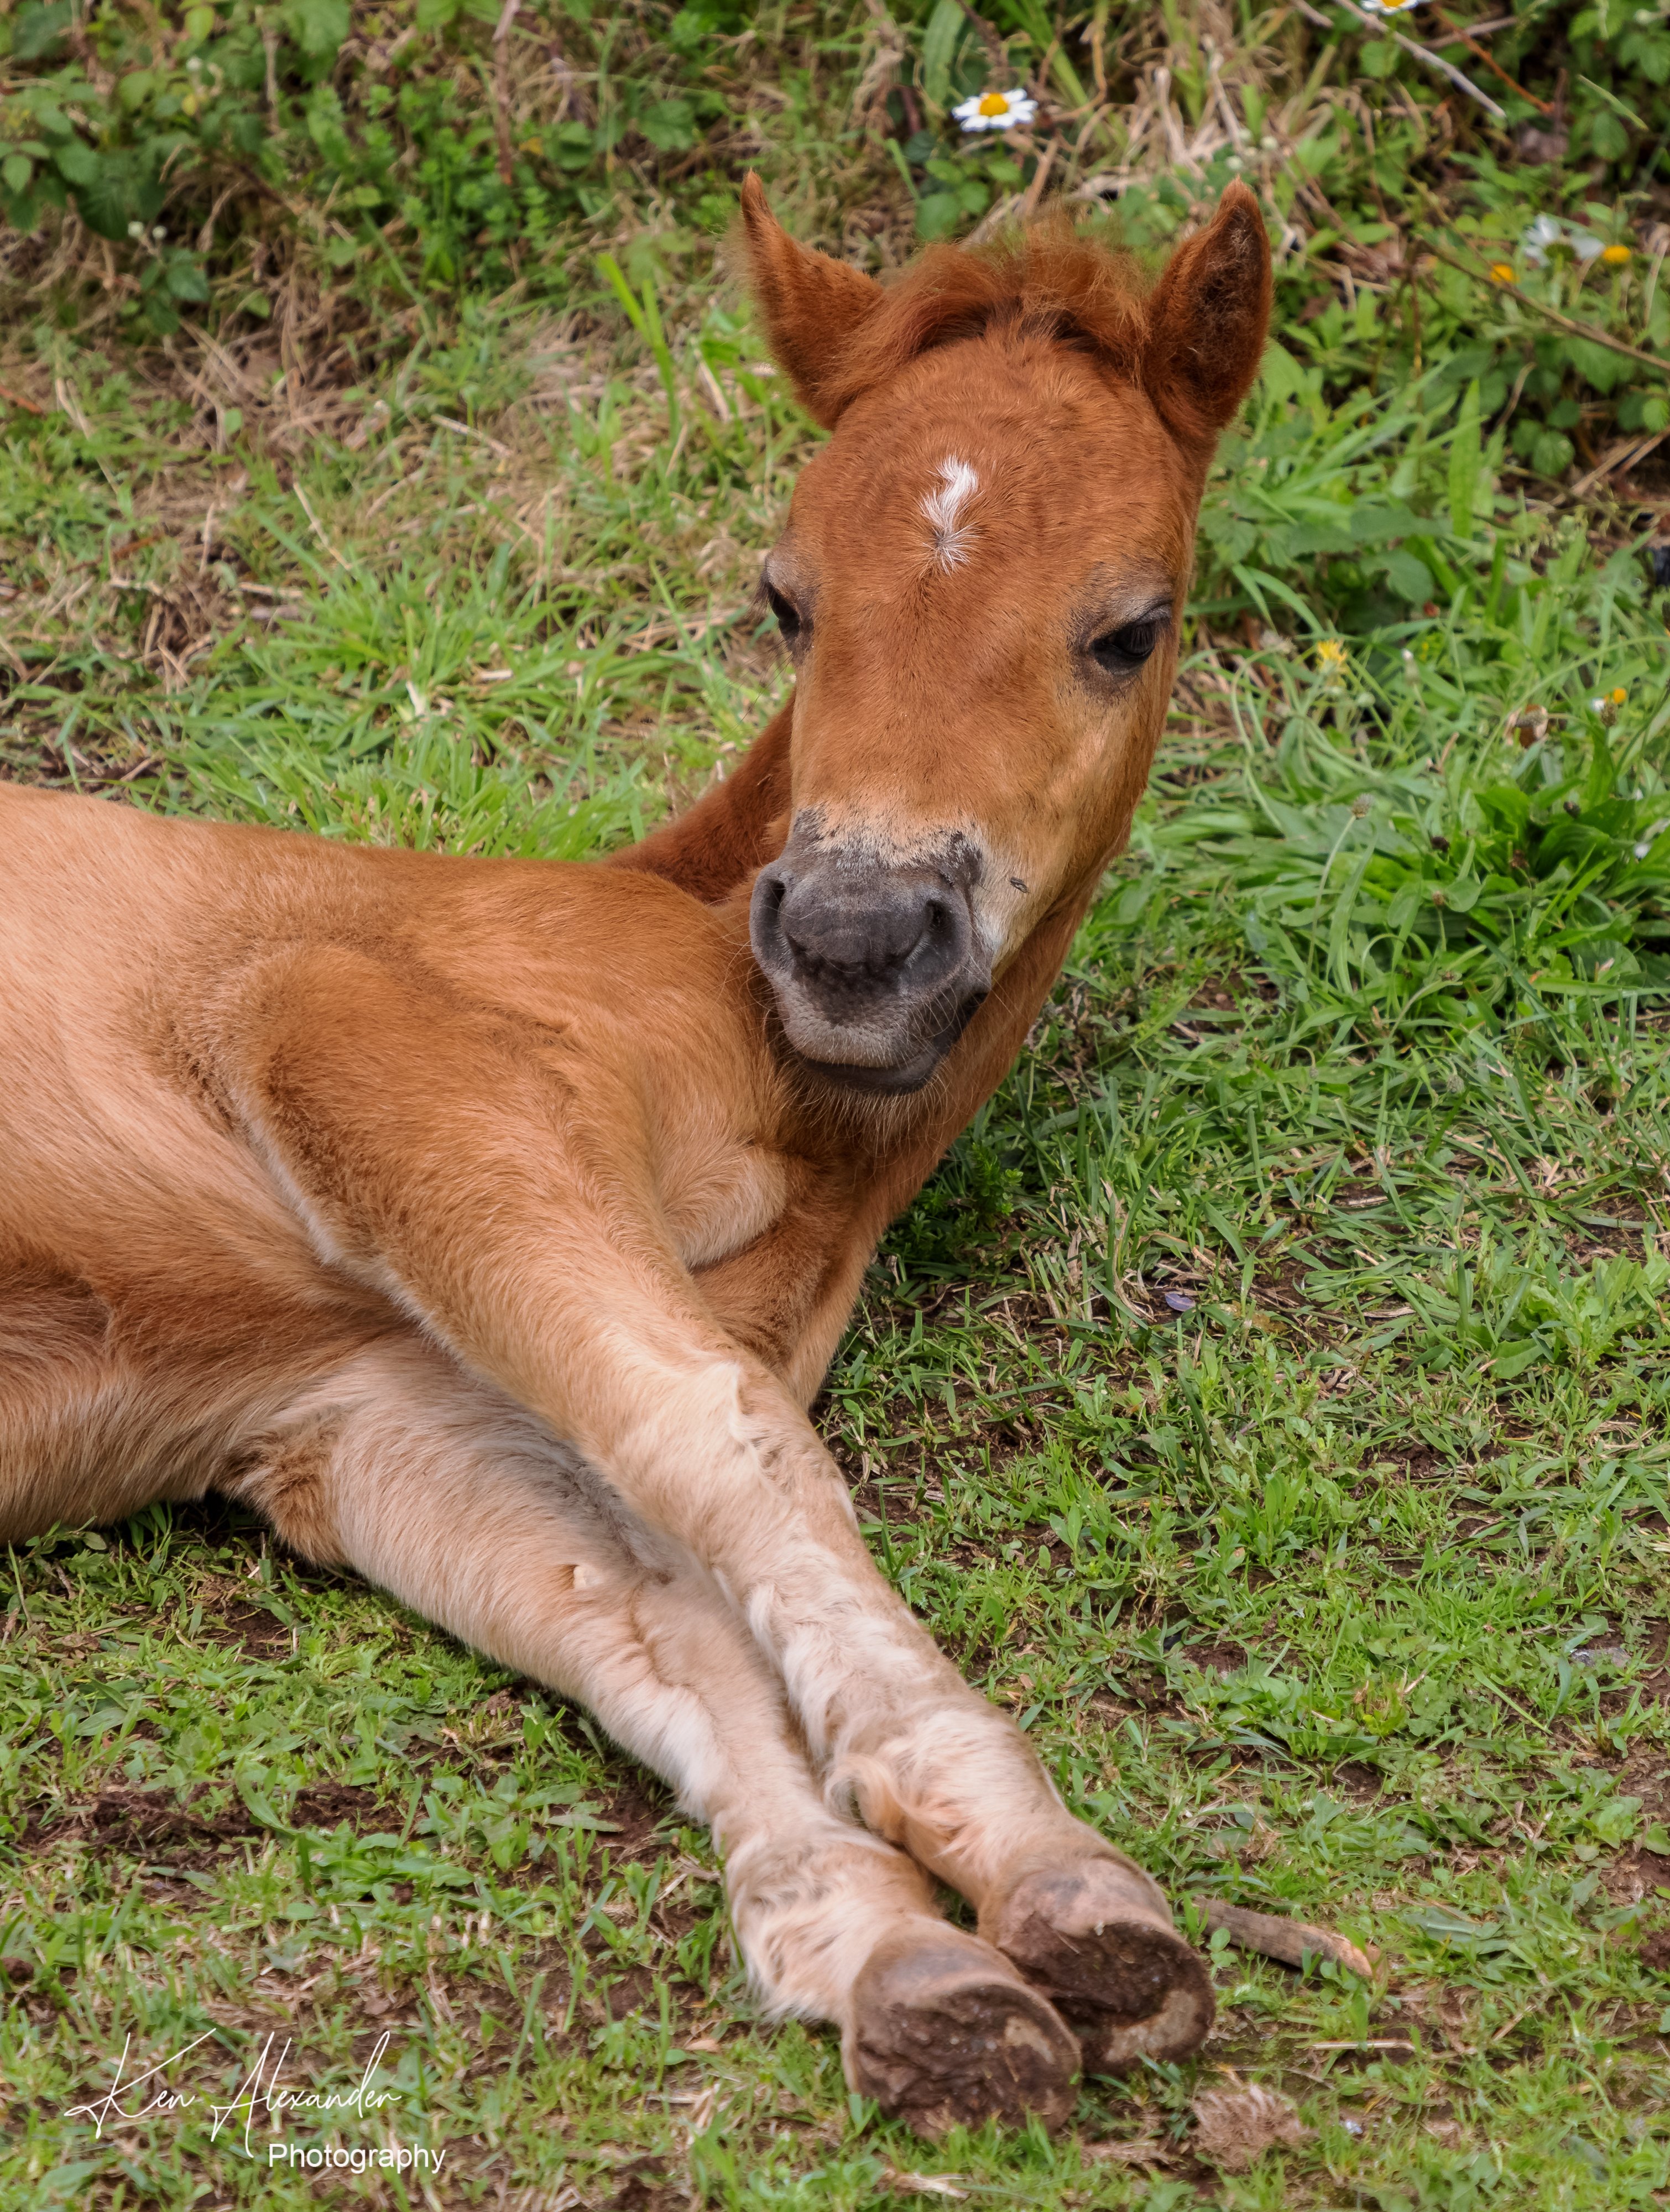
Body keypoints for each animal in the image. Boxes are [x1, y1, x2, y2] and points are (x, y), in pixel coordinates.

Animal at [0, 181, 1274, 2132]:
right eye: (785, 601)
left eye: (1130, 625)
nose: (849, 937)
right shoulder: (348, 1037)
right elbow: (722, 1443)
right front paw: (1054, 1874)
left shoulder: (359, 1407)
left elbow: (645, 1602)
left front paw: (895, 1957)